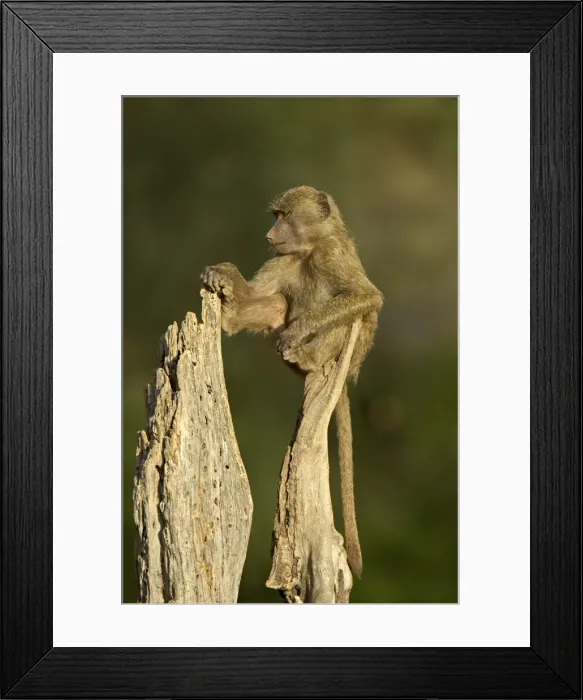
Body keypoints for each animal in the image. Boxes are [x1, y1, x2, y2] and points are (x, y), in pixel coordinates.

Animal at [201, 186, 383, 578]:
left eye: (284, 216)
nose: (269, 236)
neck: (311, 248)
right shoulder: (284, 258)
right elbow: (260, 295)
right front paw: (223, 274)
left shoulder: (332, 254)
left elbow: (365, 297)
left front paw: (298, 331)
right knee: (276, 302)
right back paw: (232, 316)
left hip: (346, 355)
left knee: (350, 317)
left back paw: (307, 355)